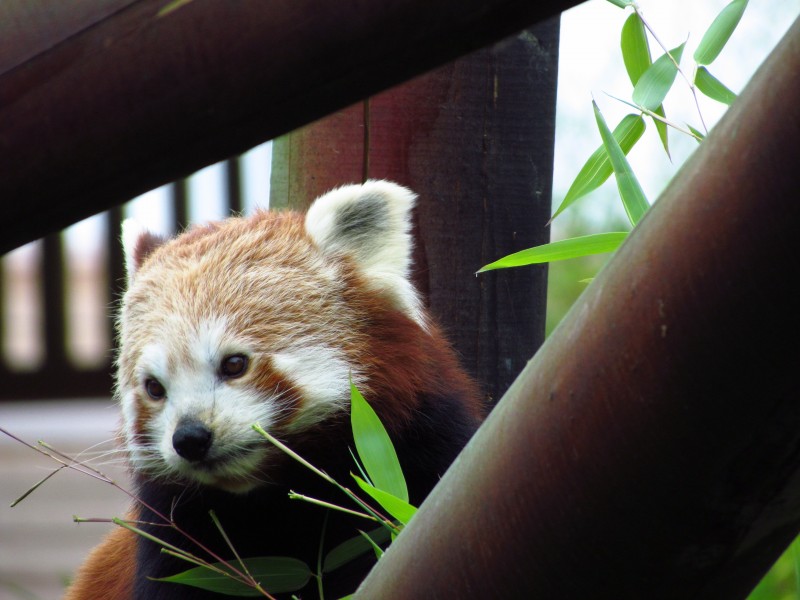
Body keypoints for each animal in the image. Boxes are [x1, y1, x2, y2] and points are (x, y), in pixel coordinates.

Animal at [64, 180, 482, 596]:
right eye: (154, 387)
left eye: (234, 364)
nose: (190, 438)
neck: (273, 499)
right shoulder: (175, 536)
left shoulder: (422, 460)